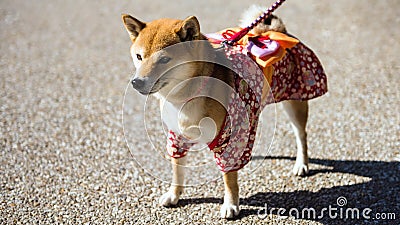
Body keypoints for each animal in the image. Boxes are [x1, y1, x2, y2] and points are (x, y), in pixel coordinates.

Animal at [122, 6, 328, 219]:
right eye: (139, 57)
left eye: (164, 59)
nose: (136, 82)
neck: (189, 94)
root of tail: (276, 30)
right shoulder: (177, 138)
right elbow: (177, 171)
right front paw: (174, 195)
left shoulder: (226, 140)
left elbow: (229, 179)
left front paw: (231, 205)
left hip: (295, 100)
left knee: (301, 135)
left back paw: (301, 164)